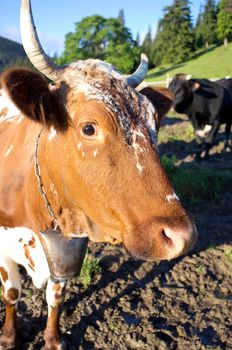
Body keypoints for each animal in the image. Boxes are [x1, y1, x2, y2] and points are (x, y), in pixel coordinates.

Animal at [0, 1, 198, 348]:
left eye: (155, 124)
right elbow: (12, 292)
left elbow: (56, 296)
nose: (181, 236)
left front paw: (53, 339)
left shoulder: (68, 250)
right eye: (89, 128)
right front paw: (9, 336)